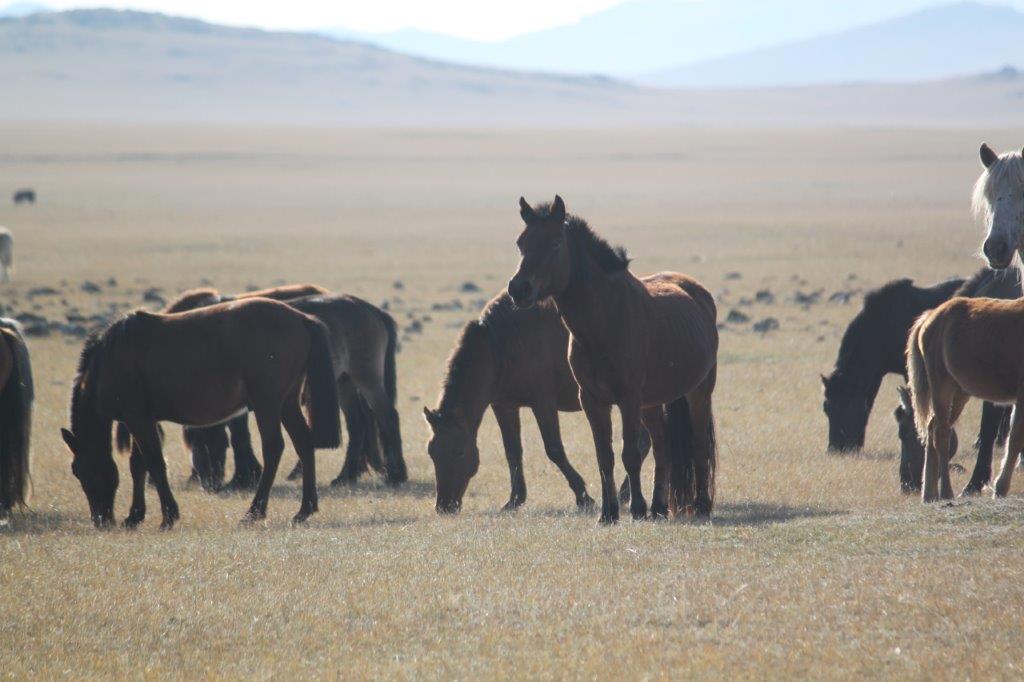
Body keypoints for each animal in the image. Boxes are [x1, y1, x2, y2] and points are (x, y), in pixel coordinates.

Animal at [61, 296, 342, 524]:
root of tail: (302, 318)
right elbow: (138, 464)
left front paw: (168, 516)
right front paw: (135, 516)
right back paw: (304, 510)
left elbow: (154, 462)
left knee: (274, 448)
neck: (109, 358)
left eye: (79, 470)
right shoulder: (142, 421)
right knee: (303, 443)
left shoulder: (137, 420)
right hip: (286, 402)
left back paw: (254, 512)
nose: (100, 519)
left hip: (268, 403)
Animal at [423, 290, 598, 509]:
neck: (502, 345)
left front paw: (583, 495)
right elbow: (512, 451)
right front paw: (515, 498)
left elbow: (554, 449)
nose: (444, 506)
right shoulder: (504, 406)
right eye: (431, 452)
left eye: (460, 452)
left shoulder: (543, 403)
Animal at [505, 196, 716, 520]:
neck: (602, 324)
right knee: (662, 447)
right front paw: (608, 513)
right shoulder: (592, 400)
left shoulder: (627, 398)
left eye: (555, 243)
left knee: (699, 445)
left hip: (699, 392)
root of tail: (698, 293)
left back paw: (701, 505)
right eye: (521, 242)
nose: (519, 289)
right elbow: (604, 456)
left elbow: (630, 454)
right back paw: (658, 507)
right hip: (652, 403)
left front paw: (636, 508)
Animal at [909, 296, 1024, 499]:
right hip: (942, 388)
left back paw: (929, 494)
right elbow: (1016, 438)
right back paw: (946, 492)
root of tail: (929, 317)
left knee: (932, 427)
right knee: (941, 433)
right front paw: (1000, 488)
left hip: (960, 394)